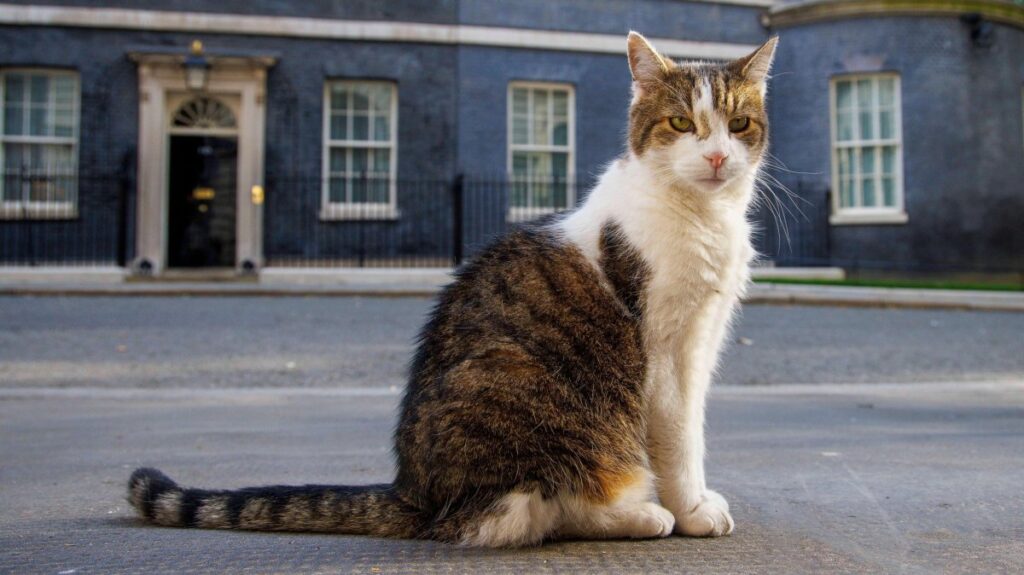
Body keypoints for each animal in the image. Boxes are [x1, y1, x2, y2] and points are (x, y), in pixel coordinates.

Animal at [125, 32, 774, 544]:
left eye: (739, 124)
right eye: (681, 123)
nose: (718, 157)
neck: (703, 217)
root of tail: (413, 491)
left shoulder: (705, 338)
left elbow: (693, 430)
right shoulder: (666, 350)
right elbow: (679, 437)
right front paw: (692, 510)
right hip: (532, 398)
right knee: (528, 510)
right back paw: (640, 515)